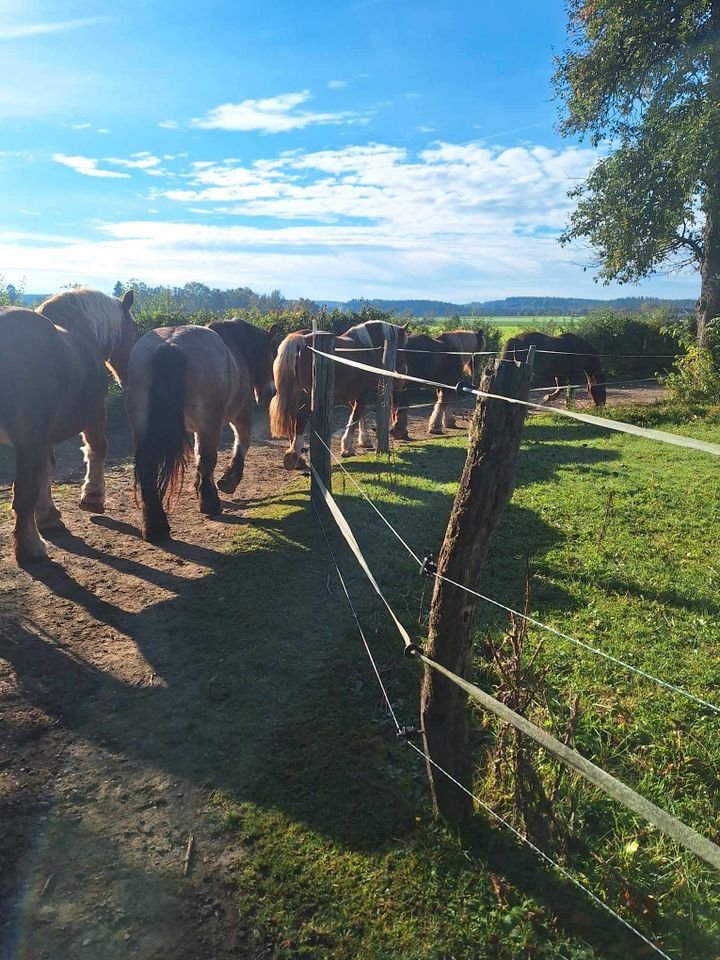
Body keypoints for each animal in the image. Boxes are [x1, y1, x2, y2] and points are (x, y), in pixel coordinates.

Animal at [0, 288, 136, 568]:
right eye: (134, 329)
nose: (128, 375)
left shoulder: (44, 437)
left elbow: (47, 470)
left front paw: (49, 516)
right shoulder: (94, 413)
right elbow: (97, 448)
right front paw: (93, 496)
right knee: (23, 494)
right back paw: (31, 547)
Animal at [126, 318, 278, 544]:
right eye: (272, 355)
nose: (270, 392)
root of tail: (170, 344)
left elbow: (198, 456)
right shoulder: (239, 414)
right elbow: (241, 442)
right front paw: (228, 480)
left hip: (143, 428)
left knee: (147, 468)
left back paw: (154, 526)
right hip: (210, 423)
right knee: (208, 458)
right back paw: (210, 504)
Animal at [268, 318, 408, 468]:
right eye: (401, 346)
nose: (403, 371)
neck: (369, 349)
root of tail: (300, 340)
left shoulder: (355, 394)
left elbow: (359, 415)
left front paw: (364, 441)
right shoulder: (363, 393)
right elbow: (355, 417)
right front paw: (347, 448)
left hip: (293, 394)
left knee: (291, 418)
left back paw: (298, 458)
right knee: (300, 417)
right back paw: (293, 455)